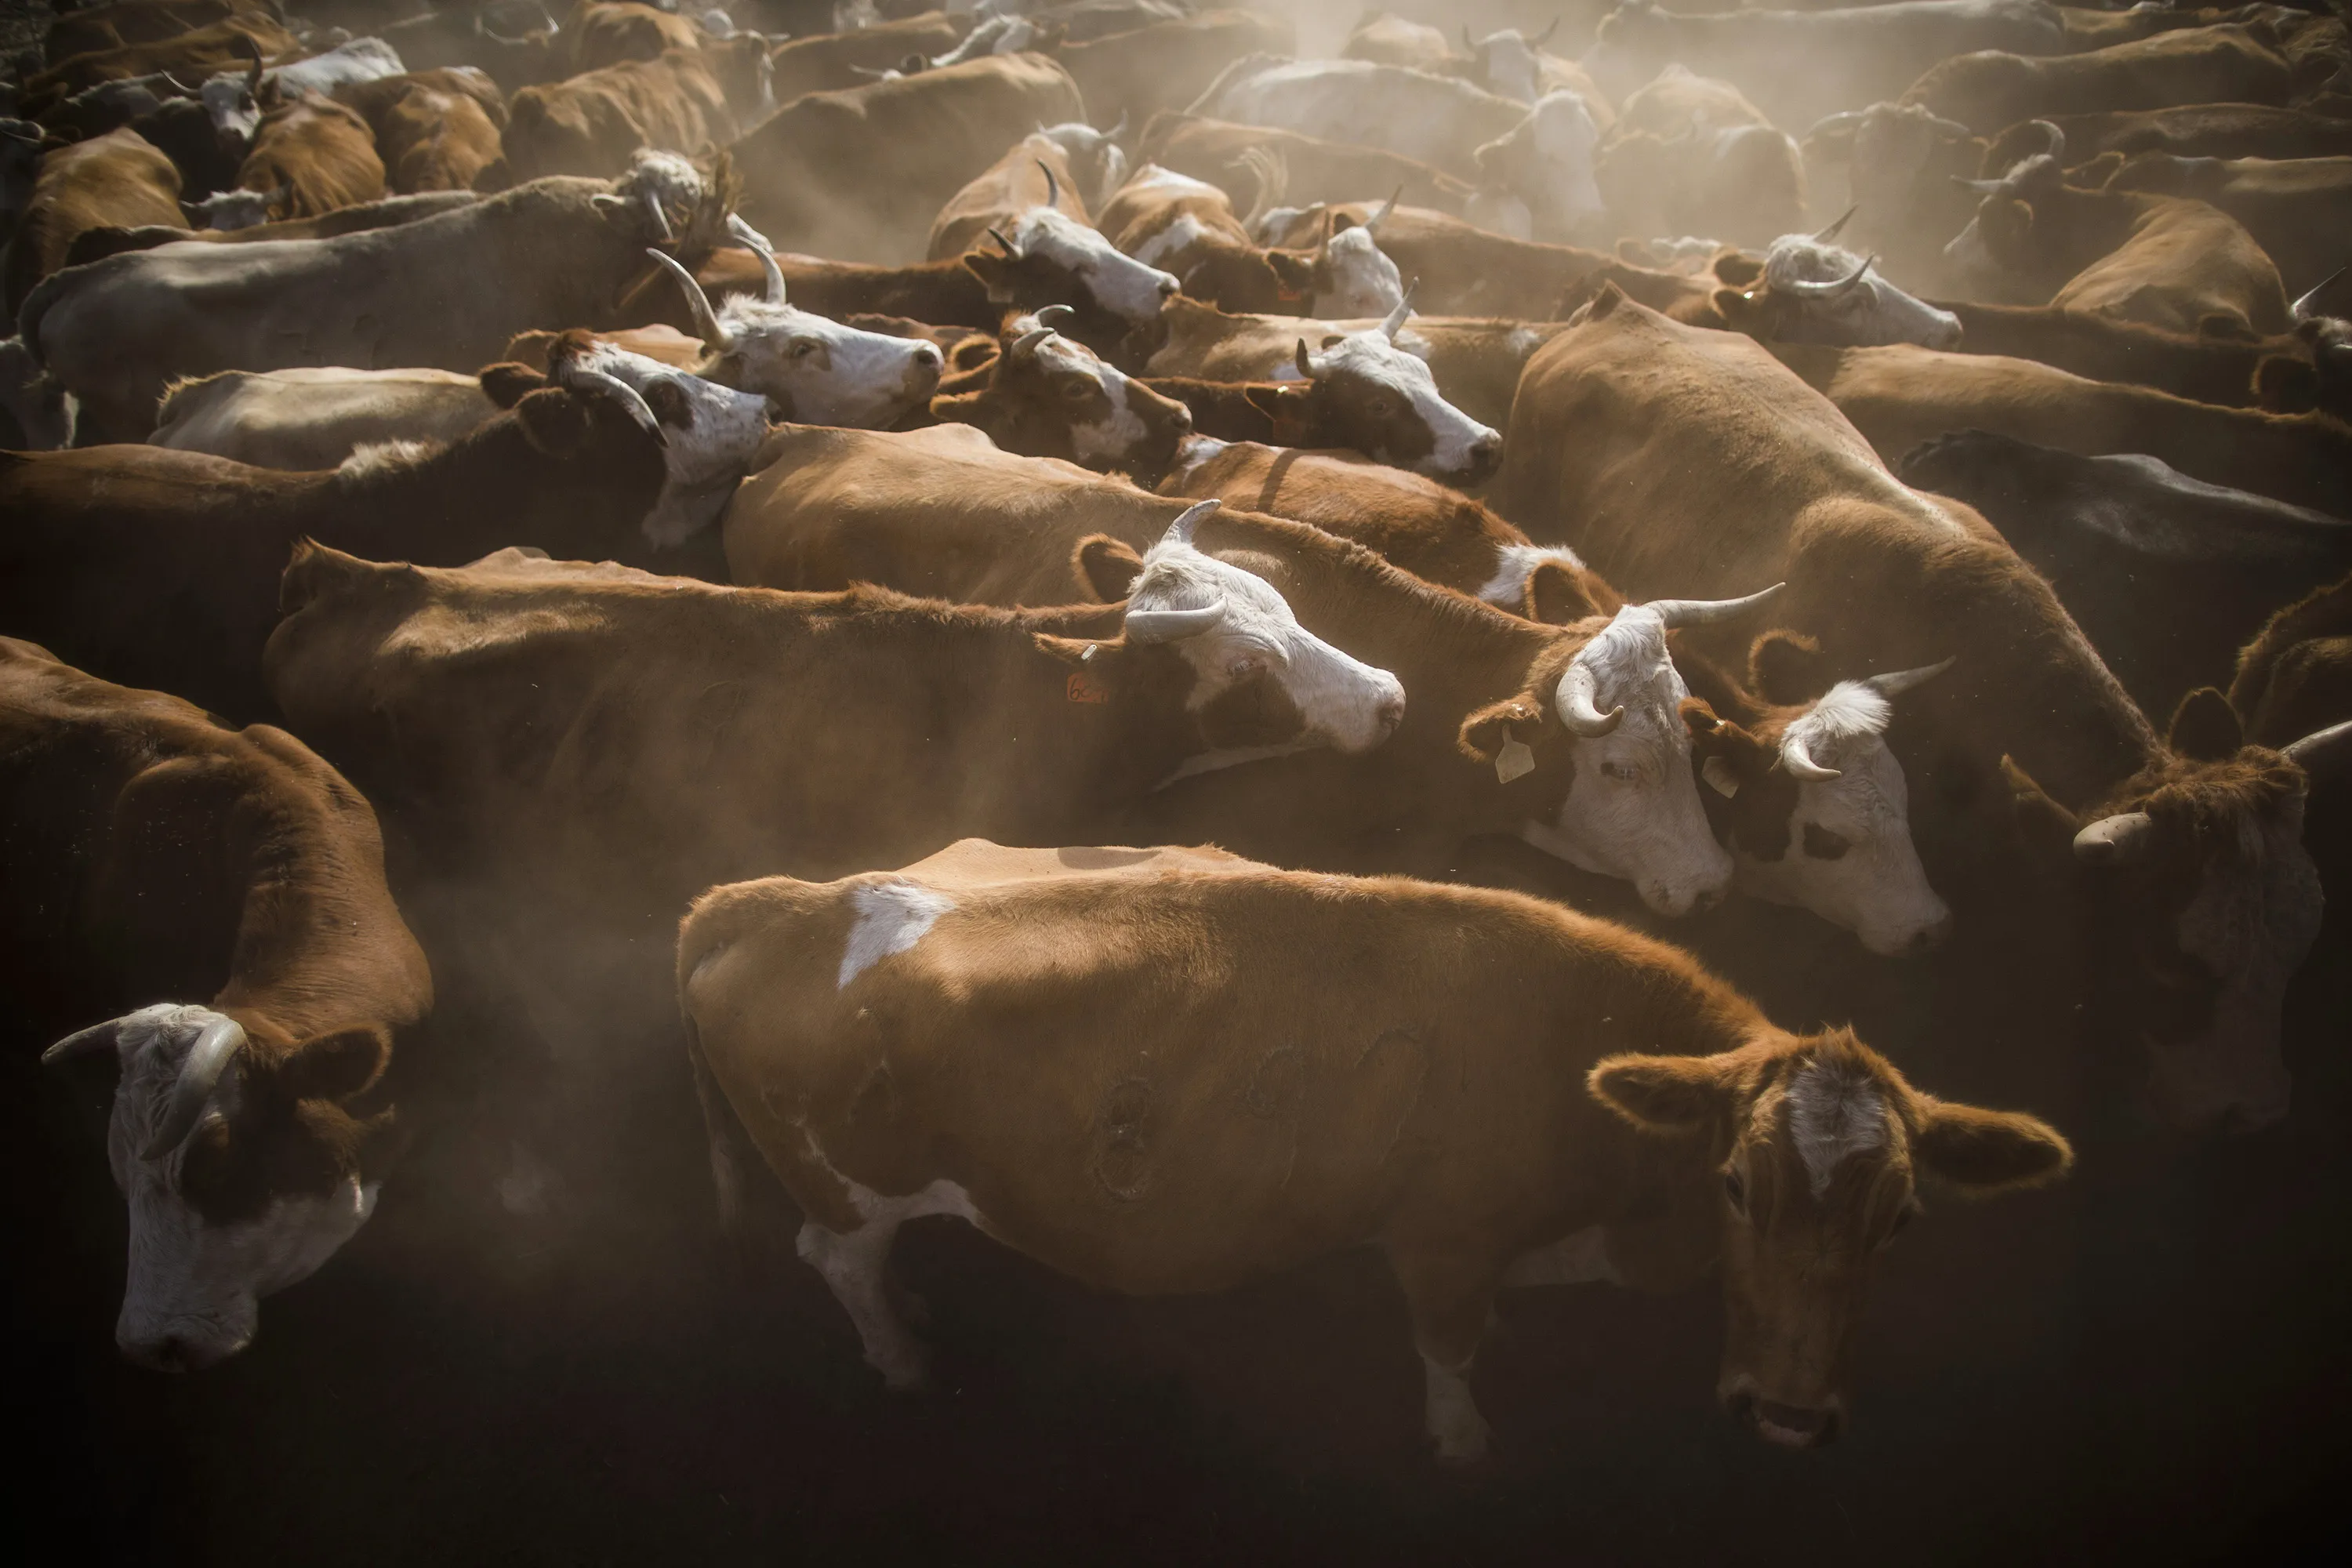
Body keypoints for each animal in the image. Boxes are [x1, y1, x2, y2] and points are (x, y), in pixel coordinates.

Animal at [675, 839, 2068, 1455]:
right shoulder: (1443, 1240)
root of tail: (779, 898)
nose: (1786, 1411)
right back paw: (904, 1358)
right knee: (834, 1256)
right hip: (846, 1184)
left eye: (1900, 1219)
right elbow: (1447, 1360)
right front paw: (1465, 1450)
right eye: (1735, 1182)